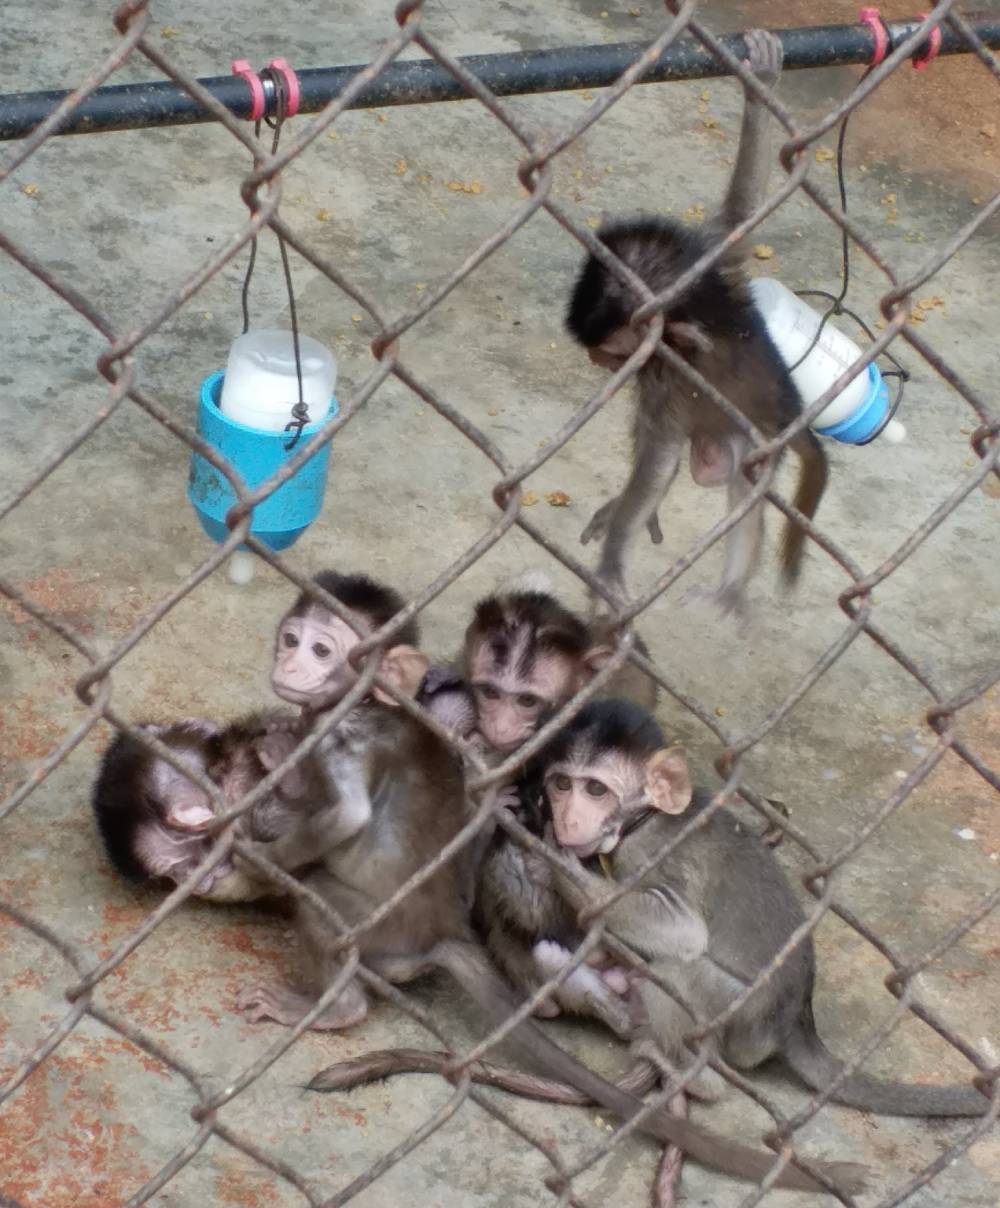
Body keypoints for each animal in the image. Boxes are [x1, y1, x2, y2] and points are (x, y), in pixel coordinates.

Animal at [565, 30, 828, 616]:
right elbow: (741, 214)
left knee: (740, 488)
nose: (595, 360)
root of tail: (794, 413)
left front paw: (612, 560)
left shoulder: (668, 364)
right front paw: (759, 91)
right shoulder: (712, 261)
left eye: (608, 352)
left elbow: (658, 452)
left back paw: (731, 587)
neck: (692, 307)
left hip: (761, 439)